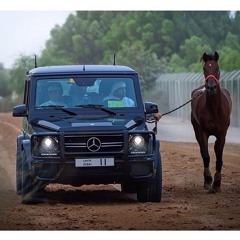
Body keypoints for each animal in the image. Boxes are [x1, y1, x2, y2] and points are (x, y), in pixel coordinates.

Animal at [190, 52, 232, 193]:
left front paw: (217, 183)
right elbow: (206, 155)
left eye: (217, 68)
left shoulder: (222, 133)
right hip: (196, 129)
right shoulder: (202, 132)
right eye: (204, 69)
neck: (214, 109)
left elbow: (219, 157)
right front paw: (208, 181)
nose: (211, 87)